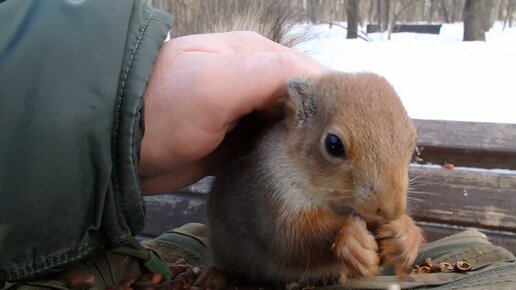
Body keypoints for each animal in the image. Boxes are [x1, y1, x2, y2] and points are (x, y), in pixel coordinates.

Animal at [177, 1, 424, 288]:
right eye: (333, 144)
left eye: (413, 145)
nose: (392, 209)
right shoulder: (267, 192)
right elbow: (290, 236)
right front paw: (350, 236)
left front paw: (403, 234)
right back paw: (217, 275)